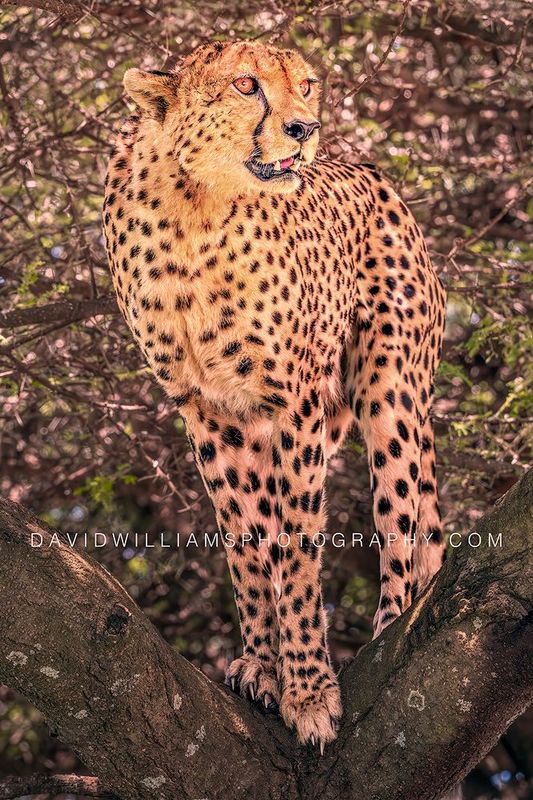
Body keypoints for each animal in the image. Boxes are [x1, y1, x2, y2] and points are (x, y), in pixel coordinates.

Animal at [103, 39, 447, 752]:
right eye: (245, 85)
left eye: (307, 84)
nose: (304, 129)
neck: (197, 205)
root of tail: (373, 177)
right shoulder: (209, 410)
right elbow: (247, 538)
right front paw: (263, 666)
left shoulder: (296, 403)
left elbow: (297, 546)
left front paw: (310, 692)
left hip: (391, 395)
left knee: (403, 528)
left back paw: (384, 639)